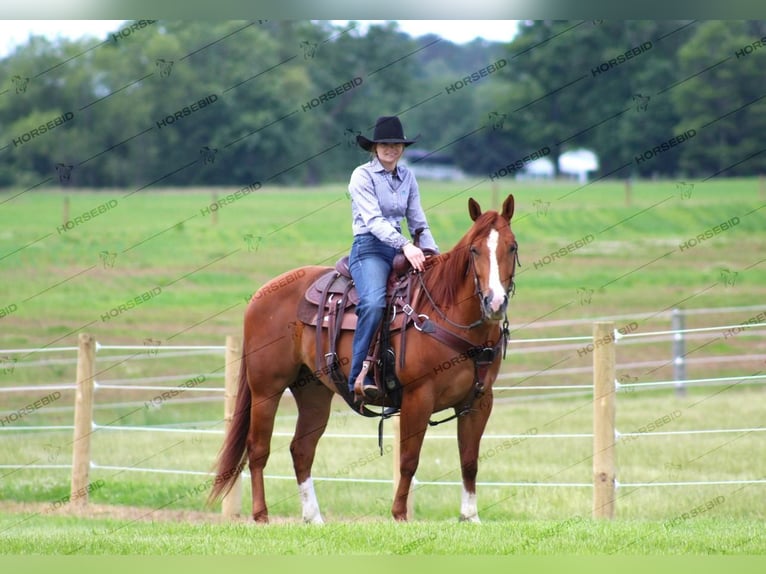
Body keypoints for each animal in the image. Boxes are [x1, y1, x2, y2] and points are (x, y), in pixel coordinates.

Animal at [210, 196, 520, 524]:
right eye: (474, 249)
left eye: (512, 247)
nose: (494, 302)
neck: (446, 314)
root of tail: (260, 294)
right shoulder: (418, 397)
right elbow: (409, 460)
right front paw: (399, 515)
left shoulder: (480, 401)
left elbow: (470, 460)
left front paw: (470, 517)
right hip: (266, 389)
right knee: (258, 449)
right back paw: (261, 516)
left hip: (313, 392)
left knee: (301, 450)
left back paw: (313, 518)